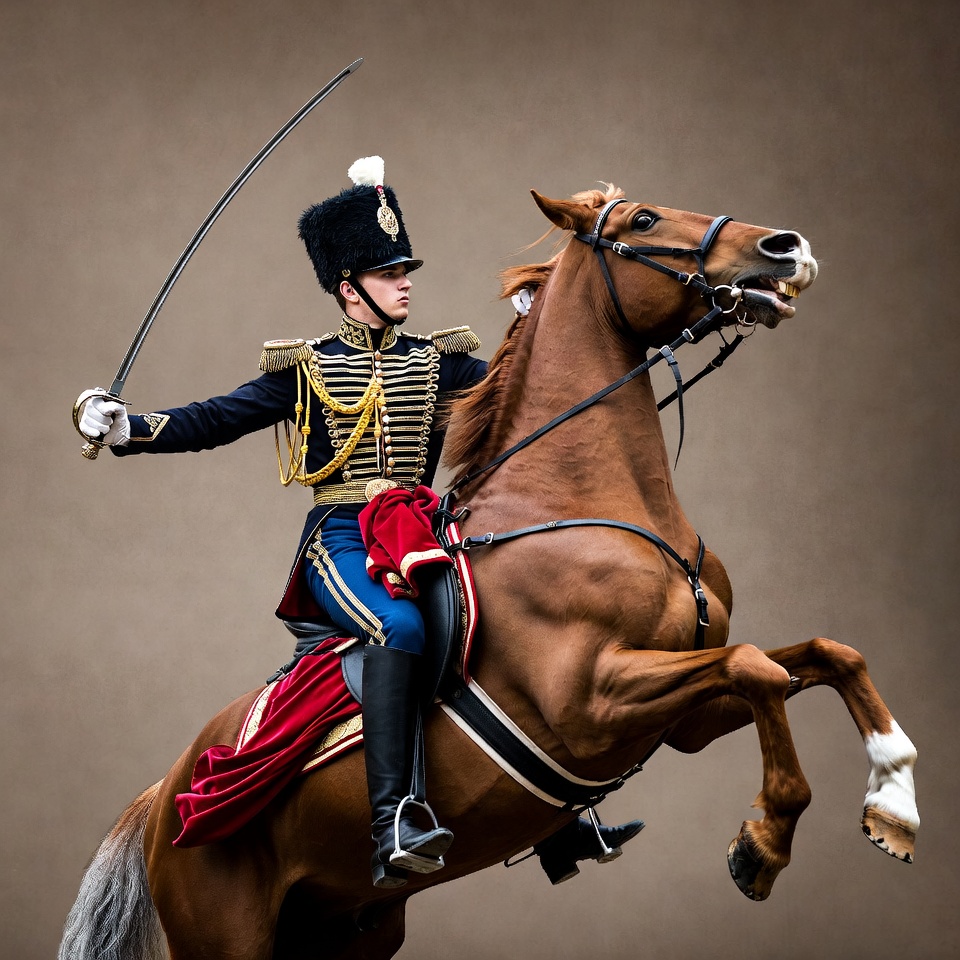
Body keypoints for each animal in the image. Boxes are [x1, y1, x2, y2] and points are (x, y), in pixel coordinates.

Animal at [59, 183, 919, 960]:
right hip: (228, 934)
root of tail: (166, 791)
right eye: (645, 218)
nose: (786, 247)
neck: (578, 501)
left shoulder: (686, 721)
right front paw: (763, 843)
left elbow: (824, 655)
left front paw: (894, 796)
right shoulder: (594, 703)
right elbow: (755, 667)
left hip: (349, 931)